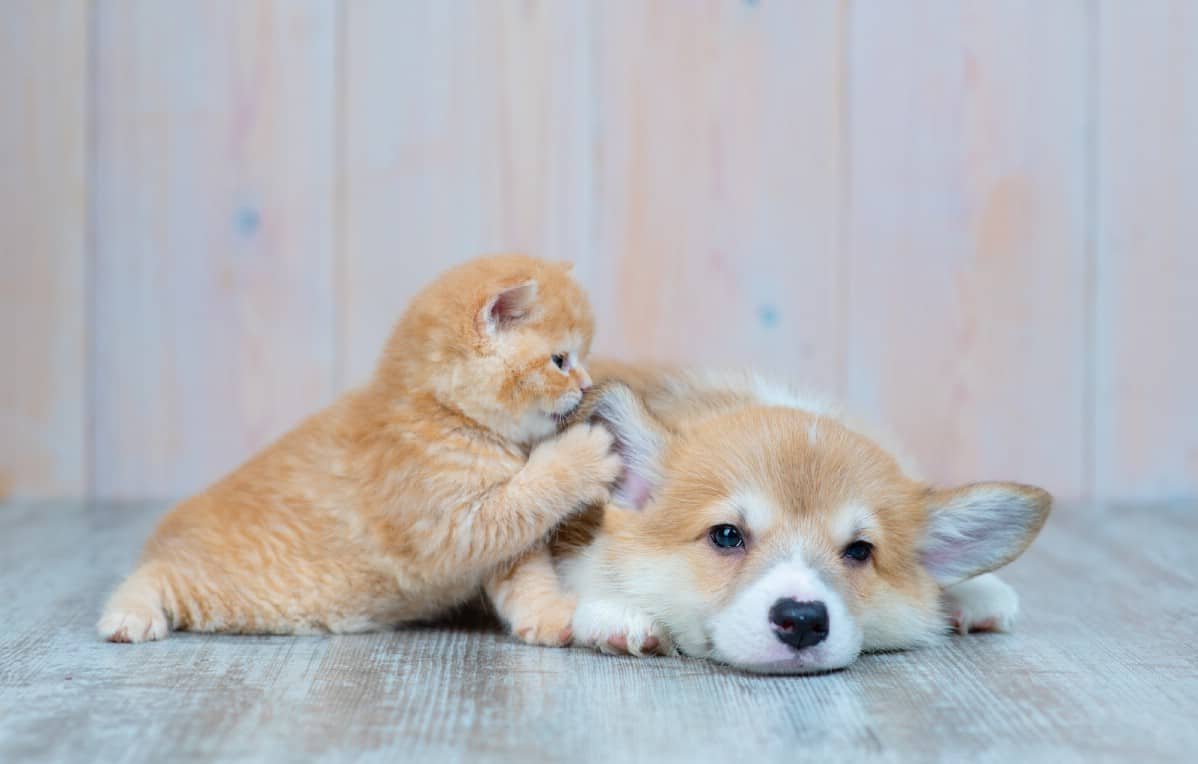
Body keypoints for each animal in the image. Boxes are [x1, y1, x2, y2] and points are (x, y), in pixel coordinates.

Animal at [97, 256, 613, 646]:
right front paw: (582, 455)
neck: (445, 413)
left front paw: (551, 616)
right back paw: (128, 617)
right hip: (226, 594)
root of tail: (165, 531)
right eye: (560, 360)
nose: (587, 384)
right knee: (153, 575)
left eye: (581, 357)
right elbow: (530, 493)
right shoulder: (456, 527)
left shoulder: (506, 548)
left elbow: (529, 579)